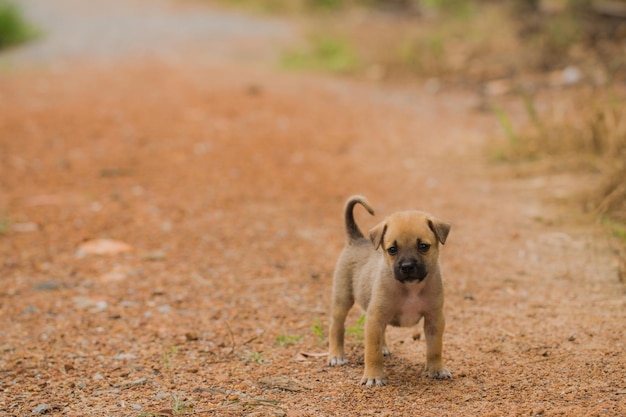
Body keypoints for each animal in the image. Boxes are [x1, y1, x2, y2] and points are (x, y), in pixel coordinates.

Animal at [326, 193, 448, 386]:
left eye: (423, 246)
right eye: (392, 249)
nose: (407, 267)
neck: (411, 288)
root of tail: (357, 240)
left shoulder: (434, 319)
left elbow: (435, 348)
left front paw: (437, 369)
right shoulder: (375, 318)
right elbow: (372, 353)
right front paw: (373, 376)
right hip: (342, 300)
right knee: (336, 326)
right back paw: (336, 355)